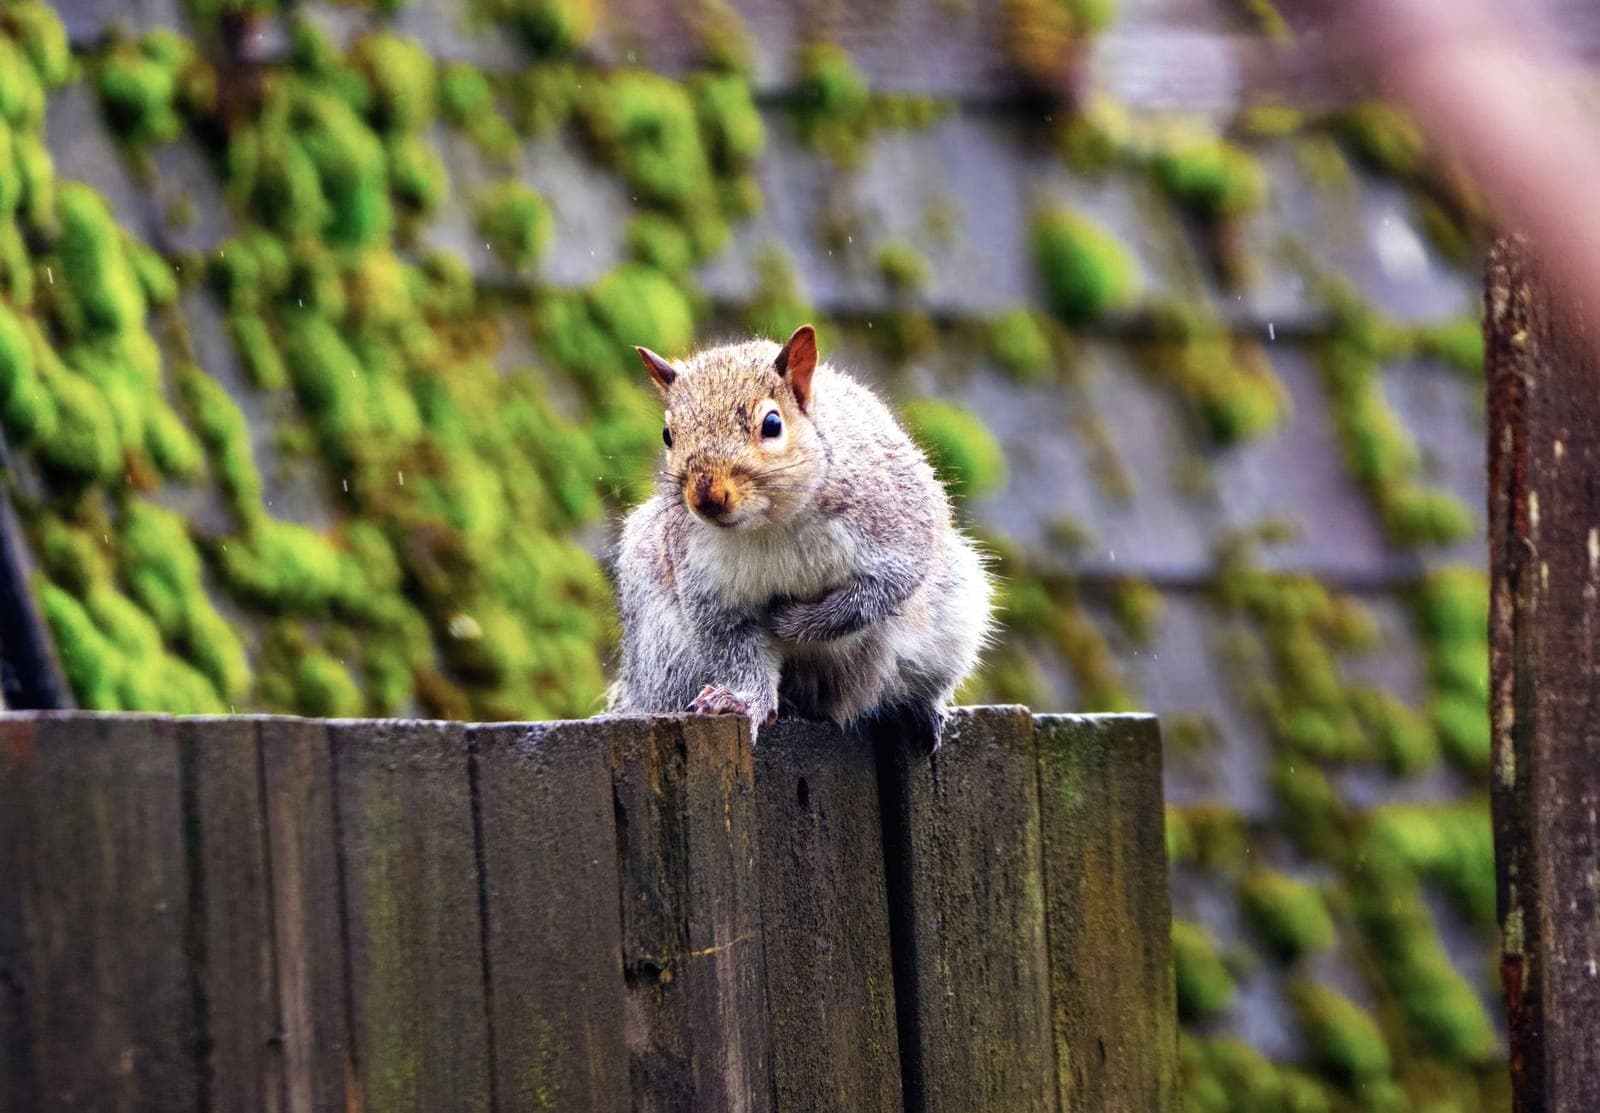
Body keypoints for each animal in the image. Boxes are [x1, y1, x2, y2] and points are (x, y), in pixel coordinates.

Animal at [606, 323, 993, 747]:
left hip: (952, 620)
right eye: (667, 434)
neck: (772, 524)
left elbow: (875, 594)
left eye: (772, 424)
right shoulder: (705, 582)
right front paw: (743, 701)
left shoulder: (894, 527)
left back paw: (919, 711)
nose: (706, 498)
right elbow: (734, 647)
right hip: (664, 647)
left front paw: (792, 622)